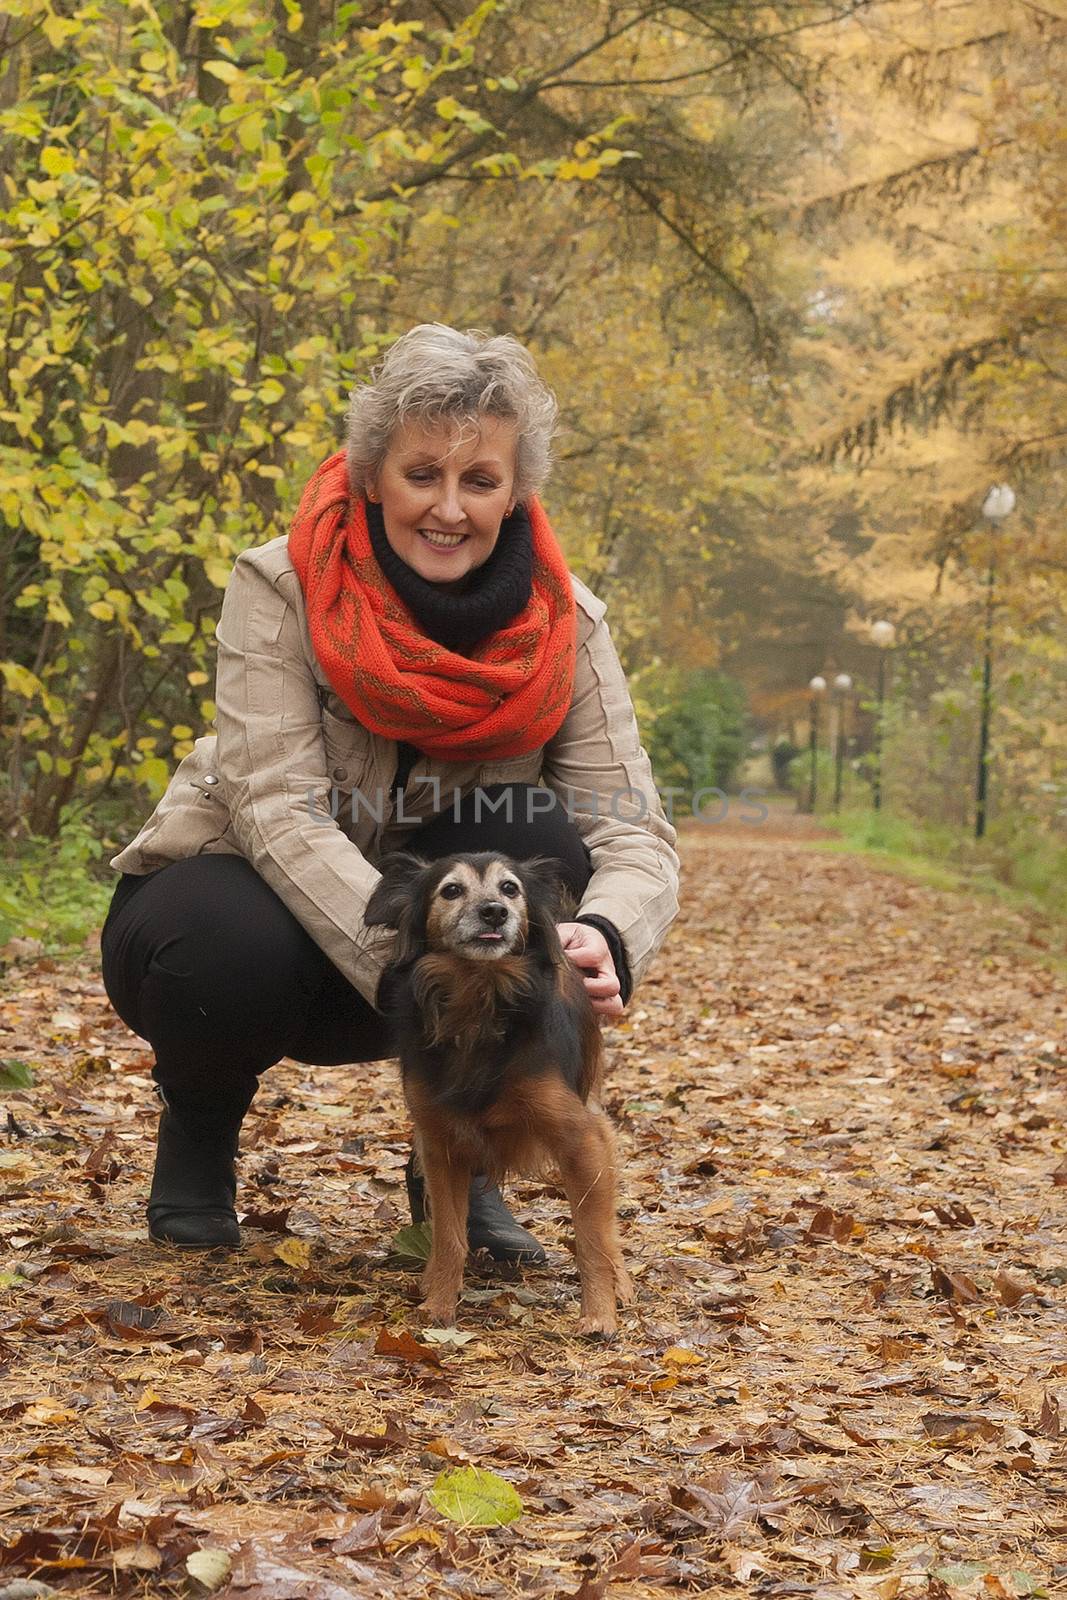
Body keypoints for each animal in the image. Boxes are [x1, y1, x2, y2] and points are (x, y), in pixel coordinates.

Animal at [367, 851, 633, 1337]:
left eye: (510, 888)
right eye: (451, 890)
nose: (494, 911)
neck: (480, 997)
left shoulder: (580, 1140)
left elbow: (590, 1239)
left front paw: (599, 1314)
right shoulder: (441, 1146)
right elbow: (450, 1236)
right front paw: (438, 1305)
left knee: (606, 1226)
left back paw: (620, 1283)